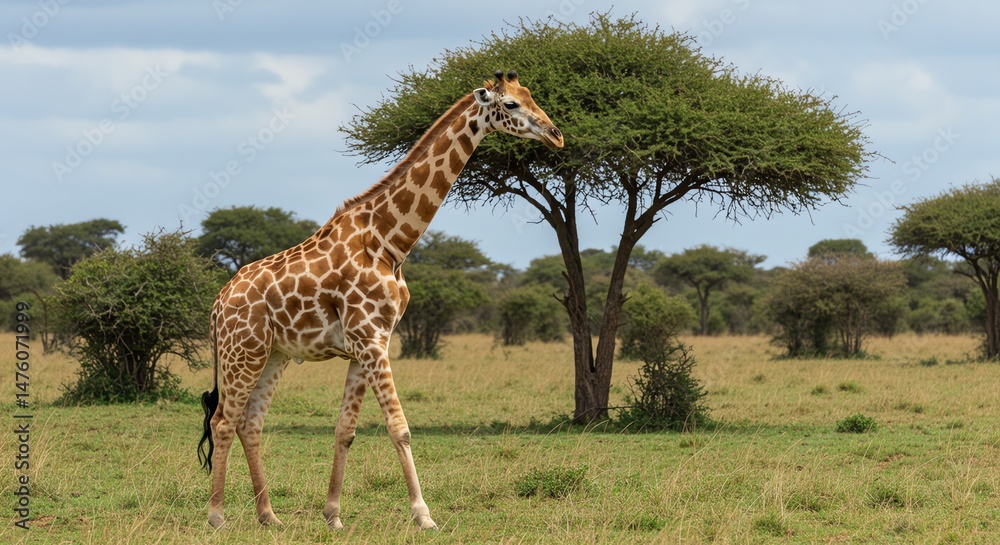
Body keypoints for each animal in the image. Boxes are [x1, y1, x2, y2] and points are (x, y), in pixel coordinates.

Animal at [197, 69, 563, 531]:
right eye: (511, 104)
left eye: (531, 95)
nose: (556, 135)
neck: (391, 242)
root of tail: (217, 303)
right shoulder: (371, 340)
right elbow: (398, 426)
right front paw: (424, 516)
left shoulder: (368, 343)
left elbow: (345, 430)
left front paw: (333, 516)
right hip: (241, 350)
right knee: (223, 421)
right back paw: (217, 516)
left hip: (273, 354)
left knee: (251, 423)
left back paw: (269, 516)